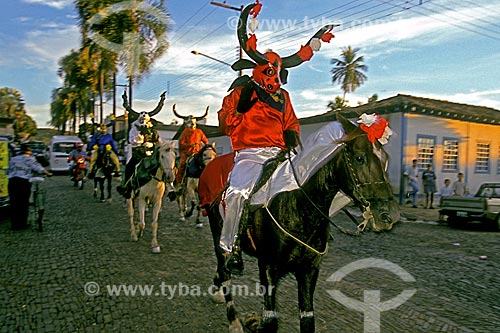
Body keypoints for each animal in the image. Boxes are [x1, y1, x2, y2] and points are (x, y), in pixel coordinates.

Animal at [199, 114, 398, 332]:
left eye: (385, 159)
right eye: (359, 158)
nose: (390, 215)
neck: (297, 205)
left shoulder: (309, 269)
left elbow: (307, 320)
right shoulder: (268, 267)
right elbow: (270, 322)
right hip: (219, 233)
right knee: (225, 270)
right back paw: (233, 319)